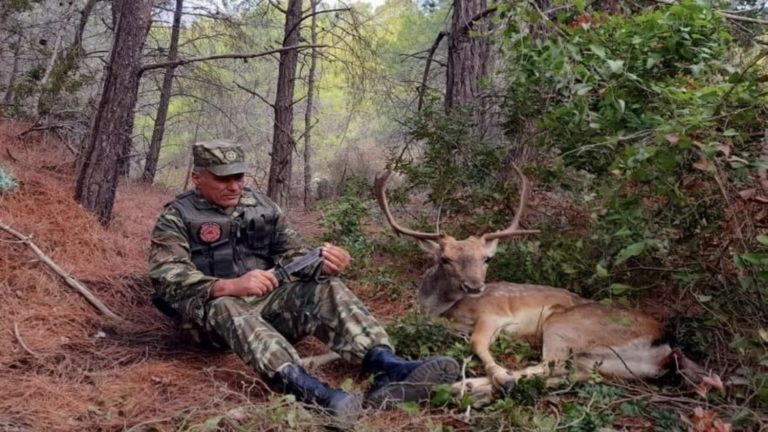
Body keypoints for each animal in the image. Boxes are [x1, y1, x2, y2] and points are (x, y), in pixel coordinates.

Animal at [376, 166, 724, 404]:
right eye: (445, 259)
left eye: (486, 259)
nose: (475, 286)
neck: (440, 310)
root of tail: (667, 346)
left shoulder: (493, 313)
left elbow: (477, 343)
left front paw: (496, 373)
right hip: (609, 365)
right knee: (571, 376)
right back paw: (478, 390)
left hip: (565, 324)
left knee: (548, 364)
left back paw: (471, 386)